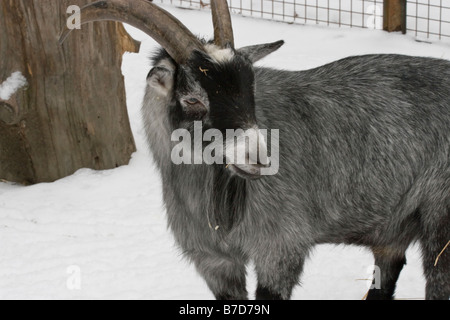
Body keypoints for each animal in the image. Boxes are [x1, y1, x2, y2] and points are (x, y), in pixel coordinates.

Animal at [61, 0, 448, 300]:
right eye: (192, 100)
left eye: (250, 88)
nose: (258, 157)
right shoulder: (214, 262)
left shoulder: (279, 249)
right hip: (393, 229)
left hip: (440, 221)